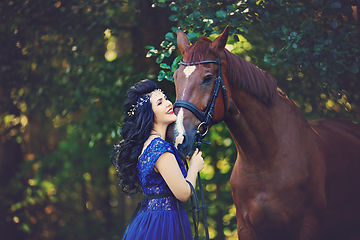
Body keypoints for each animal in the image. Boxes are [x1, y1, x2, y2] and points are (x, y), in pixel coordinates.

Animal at [167, 25, 360, 239]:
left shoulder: (308, 227)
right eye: (175, 77)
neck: (265, 162)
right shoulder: (246, 229)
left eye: (208, 78)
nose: (177, 137)